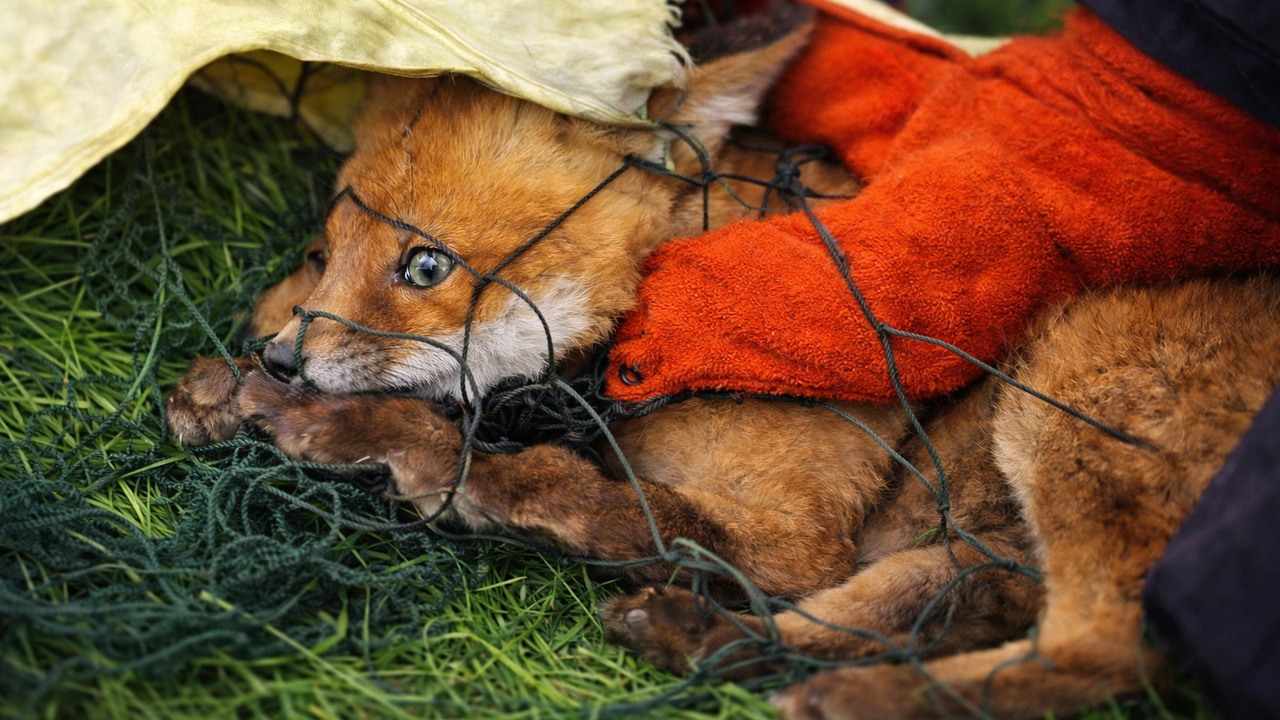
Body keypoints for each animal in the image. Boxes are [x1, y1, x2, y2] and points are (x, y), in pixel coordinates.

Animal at [166, 6, 1280, 719]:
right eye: (324, 250)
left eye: (425, 265)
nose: (283, 359)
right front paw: (229, 386)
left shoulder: (788, 534)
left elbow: (539, 475)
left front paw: (339, 428)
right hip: (982, 528)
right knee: (921, 615)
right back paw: (706, 640)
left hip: (1066, 400)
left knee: (1099, 652)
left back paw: (851, 695)